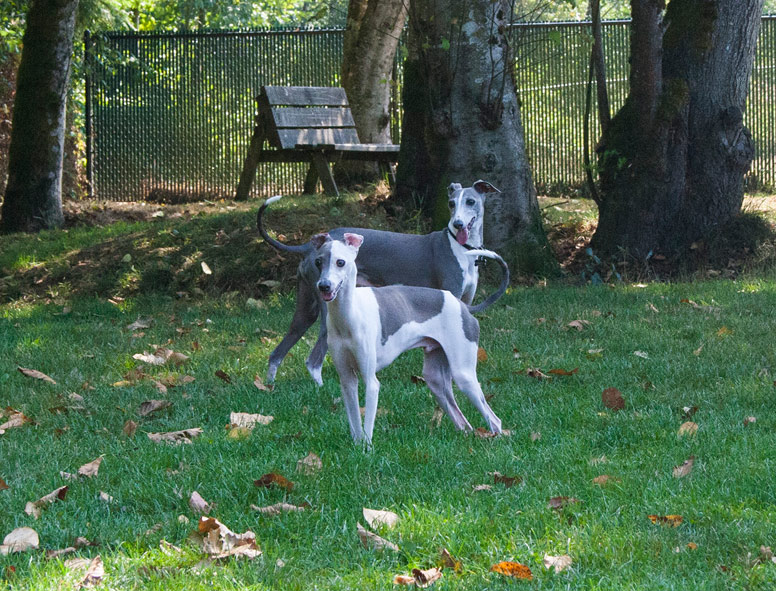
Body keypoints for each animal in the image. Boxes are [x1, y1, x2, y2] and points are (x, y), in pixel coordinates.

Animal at [258, 180, 506, 386]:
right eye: (451, 203)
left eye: (470, 201)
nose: (457, 224)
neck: (461, 248)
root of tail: (309, 246)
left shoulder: (464, 303)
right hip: (327, 310)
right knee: (313, 361)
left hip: (306, 308)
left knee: (277, 352)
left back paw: (269, 386)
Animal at [314, 234, 504, 446]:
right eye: (318, 262)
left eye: (340, 262)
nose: (324, 286)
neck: (349, 314)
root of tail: (463, 306)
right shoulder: (347, 380)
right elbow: (355, 423)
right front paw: (357, 447)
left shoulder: (371, 382)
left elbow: (367, 427)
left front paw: (367, 450)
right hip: (435, 379)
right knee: (463, 423)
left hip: (464, 375)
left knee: (494, 419)